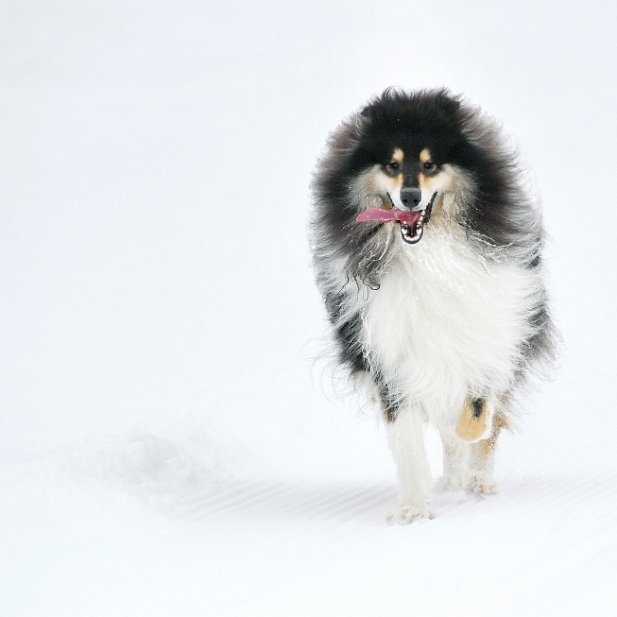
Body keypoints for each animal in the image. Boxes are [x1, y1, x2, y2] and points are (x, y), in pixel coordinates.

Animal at [308, 89, 552, 524]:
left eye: (430, 164)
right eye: (391, 164)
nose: (410, 197)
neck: (426, 252)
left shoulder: (491, 324)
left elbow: (478, 415)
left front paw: (472, 443)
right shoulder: (386, 351)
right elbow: (406, 438)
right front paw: (413, 509)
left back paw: (478, 480)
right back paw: (453, 480)